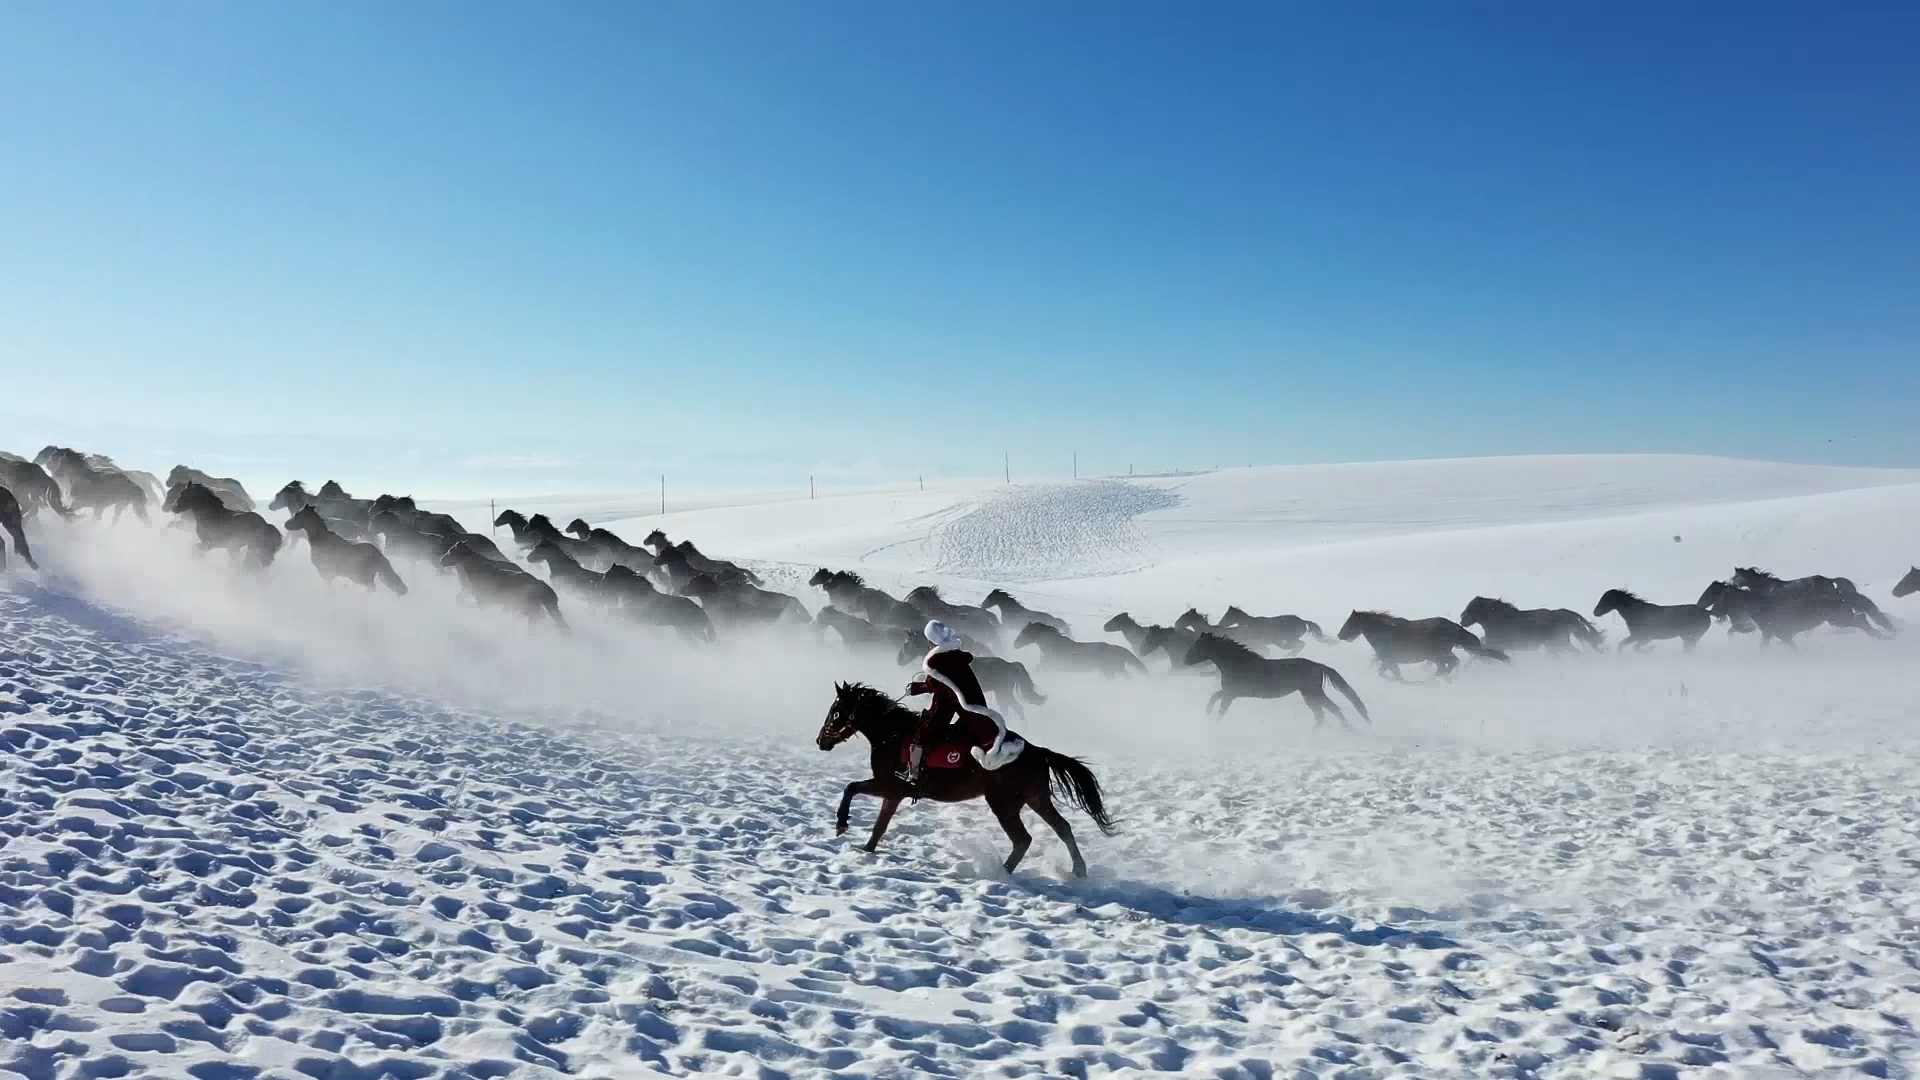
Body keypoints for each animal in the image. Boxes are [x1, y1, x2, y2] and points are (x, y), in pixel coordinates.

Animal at [817, 680, 1121, 876]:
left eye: (836, 711)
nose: (821, 741)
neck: (892, 734)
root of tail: (1037, 751)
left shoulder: (888, 785)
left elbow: (851, 788)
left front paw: (841, 824)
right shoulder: (894, 794)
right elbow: (880, 825)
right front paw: (866, 849)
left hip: (1003, 804)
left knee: (1023, 839)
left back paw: (1002, 872)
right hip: (1036, 798)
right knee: (1062, 828)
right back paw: (1078, 870)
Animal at [1182, 630, 1367, 722]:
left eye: (1197, 645)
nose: (1185, 659)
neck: (1236, 663)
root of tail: (1318, 666)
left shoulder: (1231, 693)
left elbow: (1220, 708)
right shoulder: (1231, 692)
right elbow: (1215, 697)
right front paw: (1207, 714)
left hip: (1313, 693)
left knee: (1331, 710)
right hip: (1309, 694)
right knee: (1321, 714)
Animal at [1328, 611, 1505, 676]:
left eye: (1351, 622)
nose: (1340, 635)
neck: (1385, 633)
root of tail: (1455, 627)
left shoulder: (1389, 660)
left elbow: (1389, 673)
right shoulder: (1388, 661)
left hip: (1437, 655)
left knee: (1450, 663)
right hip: (1438, 655)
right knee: (1450, 664)